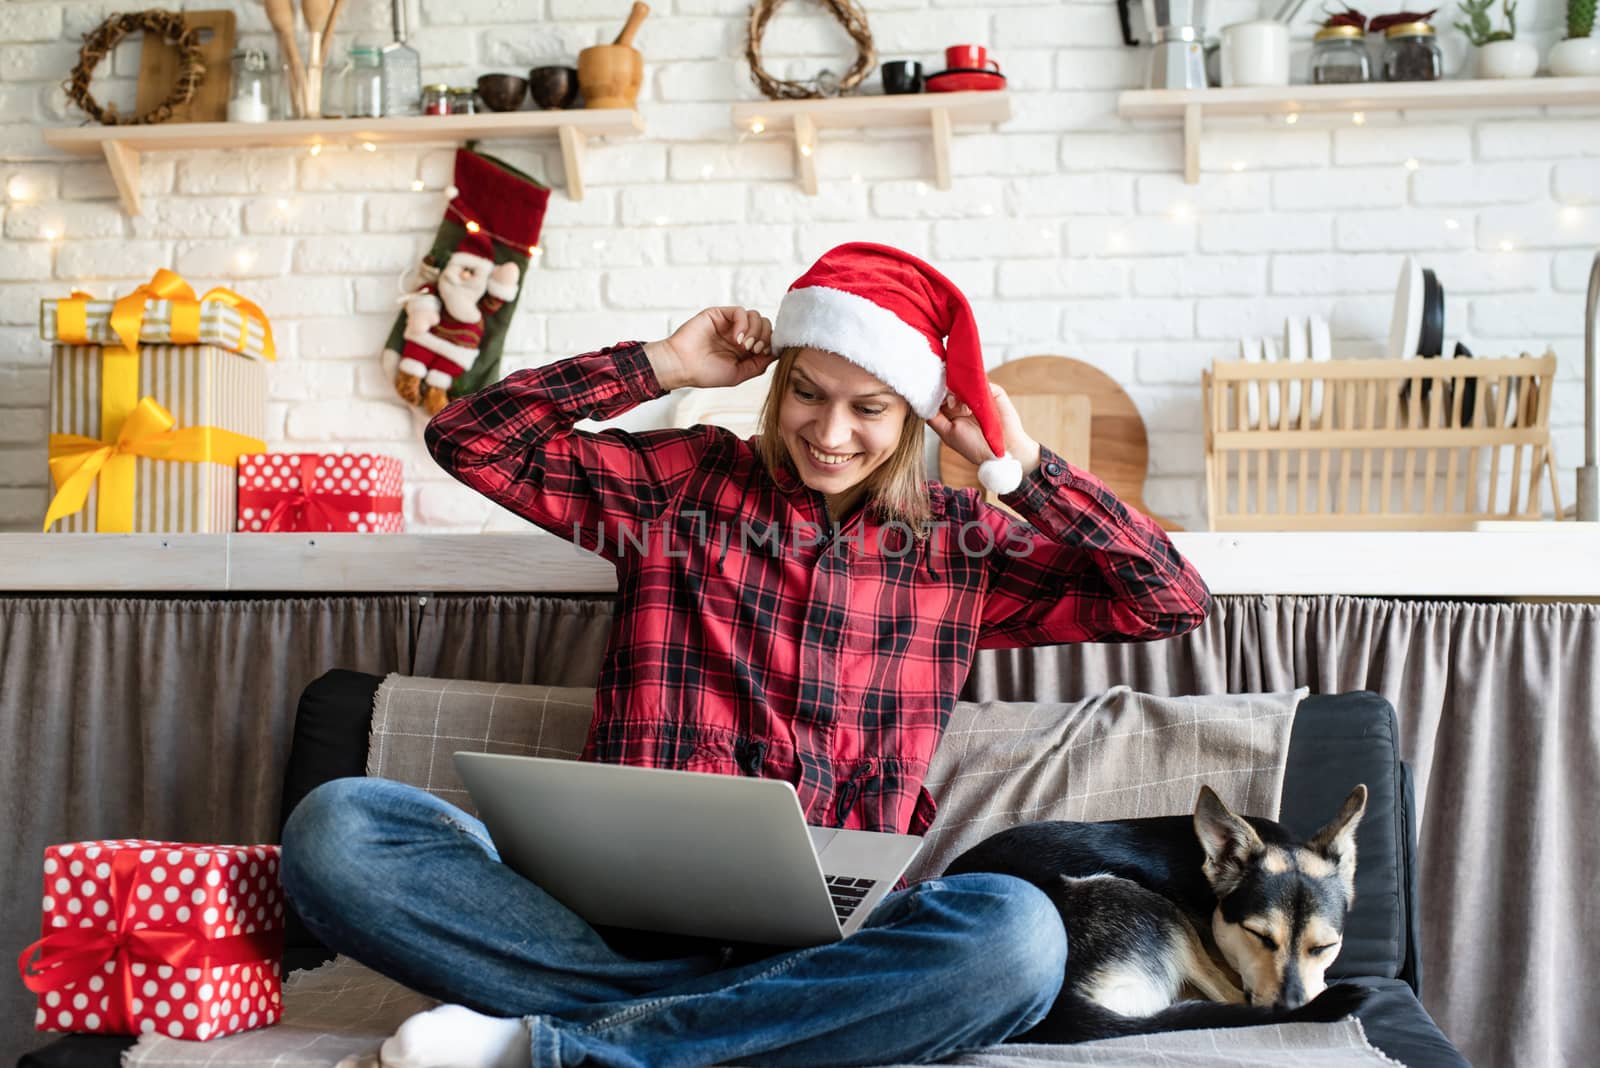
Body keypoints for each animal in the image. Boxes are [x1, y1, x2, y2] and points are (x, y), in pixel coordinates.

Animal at [940, 783, 1369, 1042]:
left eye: (1324, 947)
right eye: (1258, 935)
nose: (1295, 1010)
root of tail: (1055, 1007)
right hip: (1150, 905)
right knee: (1226, 996)